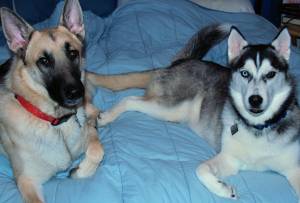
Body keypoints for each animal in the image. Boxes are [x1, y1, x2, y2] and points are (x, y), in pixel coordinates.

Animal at [0, 0, 104, 202]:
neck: (56, 121)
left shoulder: (88, 135)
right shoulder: (27, 181)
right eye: (44, 61)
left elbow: (98, 150)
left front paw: (80, 170)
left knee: (94, 111)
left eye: (72, 53)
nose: (77, 92)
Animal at [86, 24, 300, 201]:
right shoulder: (228, 157)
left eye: (270, 74)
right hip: (170, 107)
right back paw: (107, 116)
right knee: (130, 100)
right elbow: (201, 169)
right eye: (245, 73)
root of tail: (185, 61)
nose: (255, 100)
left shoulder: (293, 168)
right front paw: (222, 189)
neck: (258, 127)